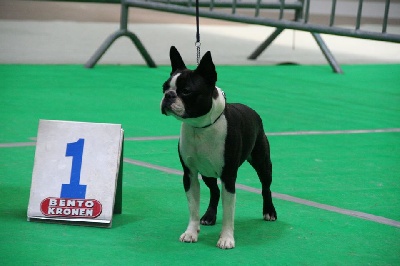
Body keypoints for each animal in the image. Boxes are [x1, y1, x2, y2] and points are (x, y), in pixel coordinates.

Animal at [161, 46, 276, 249]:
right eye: (164, 87)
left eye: (186, 91)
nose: (168, 96)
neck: (200, 127)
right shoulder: (190, 174)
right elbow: (193, 208)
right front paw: (191, 232)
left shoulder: (228, 176)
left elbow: (229, 211)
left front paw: (226, 238)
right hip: (207, 172)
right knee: (214, 191)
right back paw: (208, 216)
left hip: (262, 162)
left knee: (265, 187)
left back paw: (269, 212)